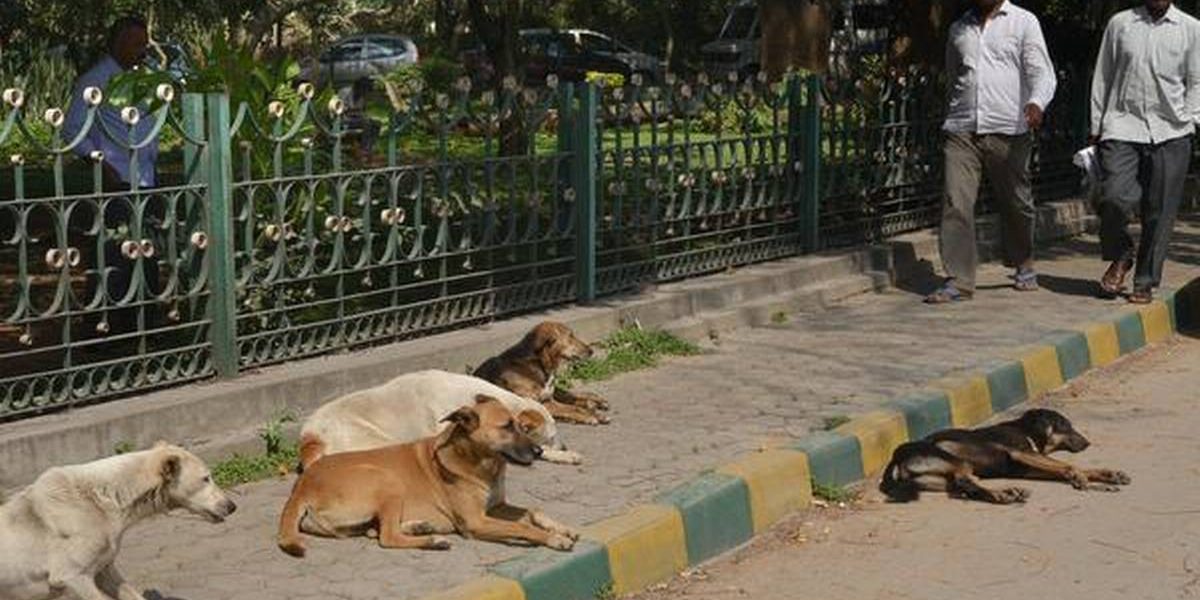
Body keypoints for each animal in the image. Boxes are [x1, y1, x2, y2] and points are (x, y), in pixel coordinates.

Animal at [280, 393, 580, 556]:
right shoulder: (476, 521)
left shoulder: (497, 506)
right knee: (386, 538)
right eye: (506, 426)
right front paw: (554, 539)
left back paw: (419, 527)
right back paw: (433, 540)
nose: (539, 451)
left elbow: (533, 511)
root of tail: (301, 486)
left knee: (375, 530)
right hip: (387, 480)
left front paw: (562, 528)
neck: (479, 463)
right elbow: (522, 526)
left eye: (521, 425)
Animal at [475, 321, 614, 424]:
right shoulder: (540, 404)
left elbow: (572, 406)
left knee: (572, 395)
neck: (539, 363)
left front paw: (595, 414)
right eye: (570, 336)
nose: (591, 351)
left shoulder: (548, 400)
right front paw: (590, 416)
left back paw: (596, 401)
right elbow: (572, 409)